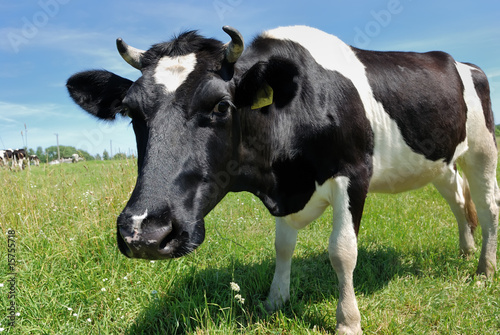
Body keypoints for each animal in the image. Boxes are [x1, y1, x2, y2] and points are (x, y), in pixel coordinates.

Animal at [67, 26, 500, 335]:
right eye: (131, 111)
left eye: (221, 105)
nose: (145, 233)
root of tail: (462, 63)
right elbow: (282, 246)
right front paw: (275, 301)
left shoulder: (353, 173)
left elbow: (342, 251)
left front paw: (348, 322)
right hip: (440, 161)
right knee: (458, 199)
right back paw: (465, 251)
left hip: (483, 148)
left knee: (488, 206)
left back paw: (484, 269)